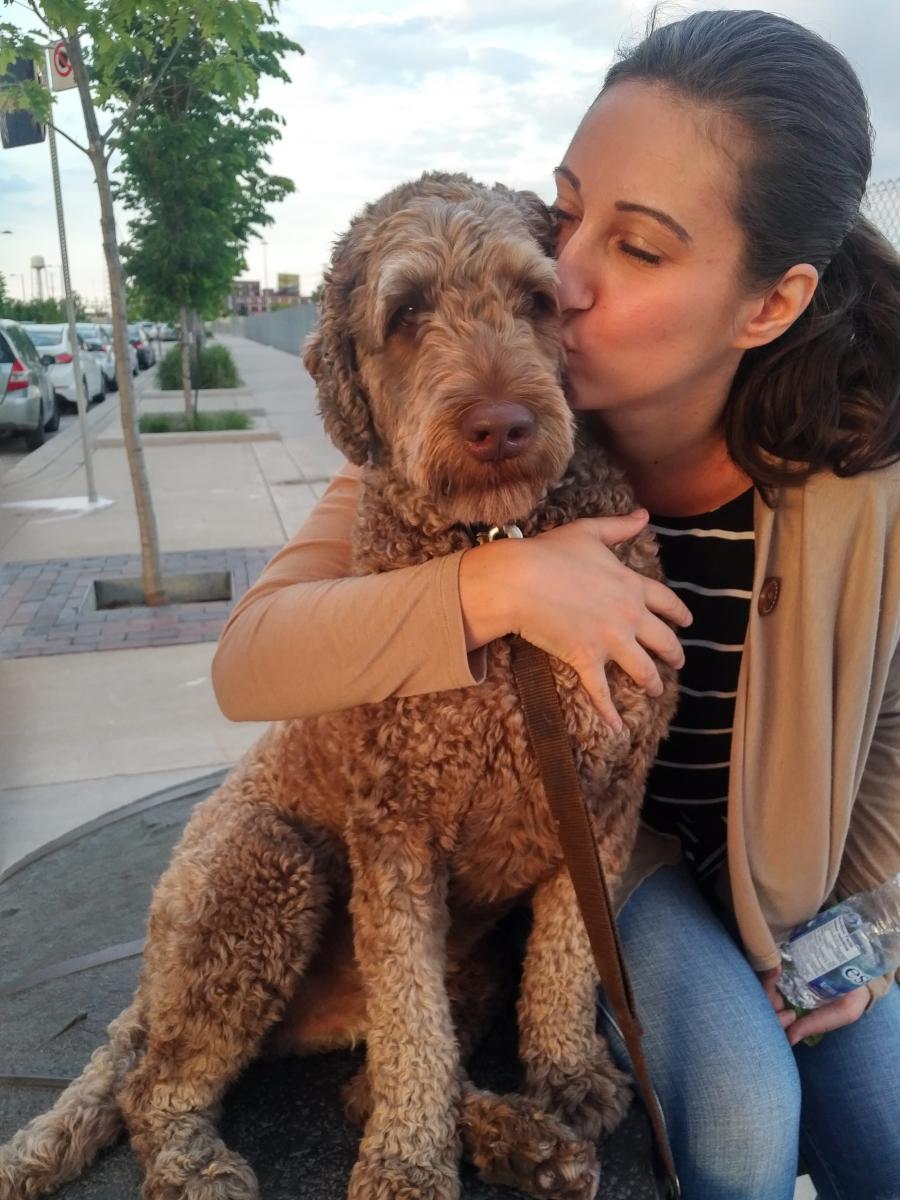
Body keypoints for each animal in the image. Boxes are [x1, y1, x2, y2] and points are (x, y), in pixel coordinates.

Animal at [0, 174, 676, 1200]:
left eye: (536, 299)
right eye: (406, 314)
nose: (502, 424)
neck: (501, 542)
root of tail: (143, 994)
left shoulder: (600, 796)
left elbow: (566, 956)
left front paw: (568, 1078)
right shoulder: (395, 835)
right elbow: (411, 1028)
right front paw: (407, 1166)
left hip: (456, 959)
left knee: (365, 1077)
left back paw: (529, 1139)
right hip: (260, 874)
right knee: (159, 1083)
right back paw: (196, 1163)